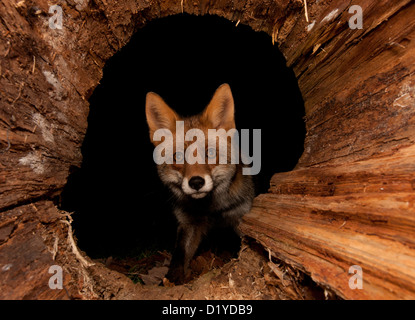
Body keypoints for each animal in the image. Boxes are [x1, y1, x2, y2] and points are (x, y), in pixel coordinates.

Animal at [146, 84, 256, 284]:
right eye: (178, 157)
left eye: (210, 153)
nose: (196, 182)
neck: (210, 209)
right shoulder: (189, 223)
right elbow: (179, 256)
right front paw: (171, 282)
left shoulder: (240, 215)